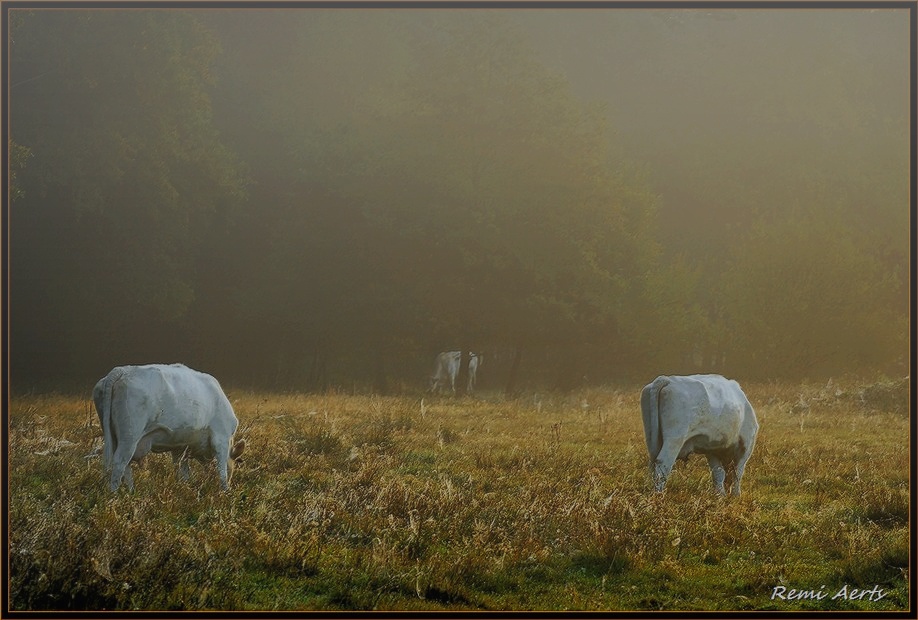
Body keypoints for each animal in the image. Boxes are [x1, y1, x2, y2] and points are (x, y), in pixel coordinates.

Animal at [93, 364, 246, 490]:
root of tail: (122, 370)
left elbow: (183, 469)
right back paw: (114, 493)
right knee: (120, 462)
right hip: (130, 437)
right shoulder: (221, 439)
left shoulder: (181, 446)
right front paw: (225, 490)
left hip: (114, 436)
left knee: (126, 466)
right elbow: (222, 470)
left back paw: (130, 492)